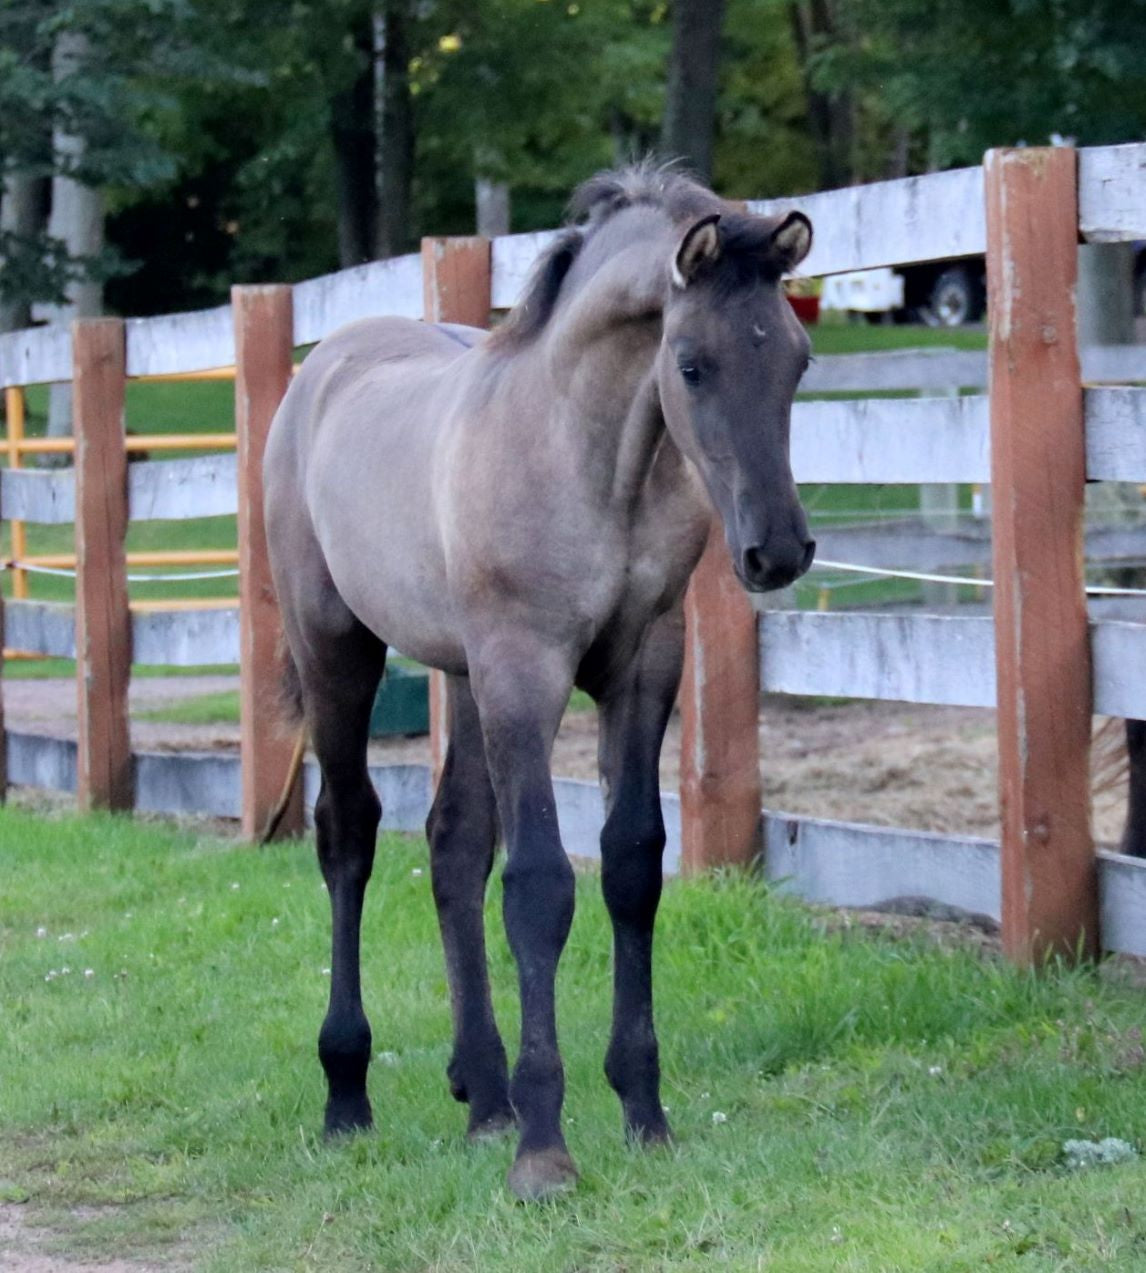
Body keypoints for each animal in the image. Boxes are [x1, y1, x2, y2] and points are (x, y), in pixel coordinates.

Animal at [262, 164, 814, 1196]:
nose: (780, 550)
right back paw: (348, 1093)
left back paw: (484, 1095)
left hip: (463, 674)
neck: (589, 461)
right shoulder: (525, 668)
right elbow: (541, 886)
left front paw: (642, 1110)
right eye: (691, 364)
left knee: (452, 845)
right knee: (348, 833)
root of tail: (327, 360)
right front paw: (545, 1150)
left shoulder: (643, 666)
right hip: (338, 649)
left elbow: (630, 865)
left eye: (796, 360)